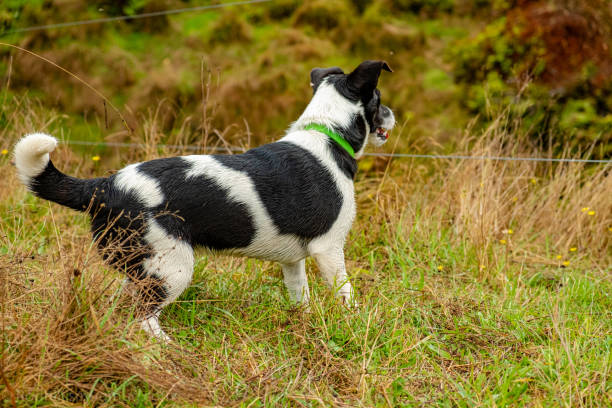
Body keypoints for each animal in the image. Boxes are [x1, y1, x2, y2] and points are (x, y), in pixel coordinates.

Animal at [15, 59, 396, 342]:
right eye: (378, 98)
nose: (393, 114)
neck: (327, 133)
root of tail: (105, 186)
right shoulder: (328, 250)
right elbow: (346, 296)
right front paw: (356, 325)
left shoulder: (293, 261)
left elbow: (299, 296)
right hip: (173, 268)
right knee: (144, 318)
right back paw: (167, 349)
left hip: (141, 268)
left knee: (125, 309)